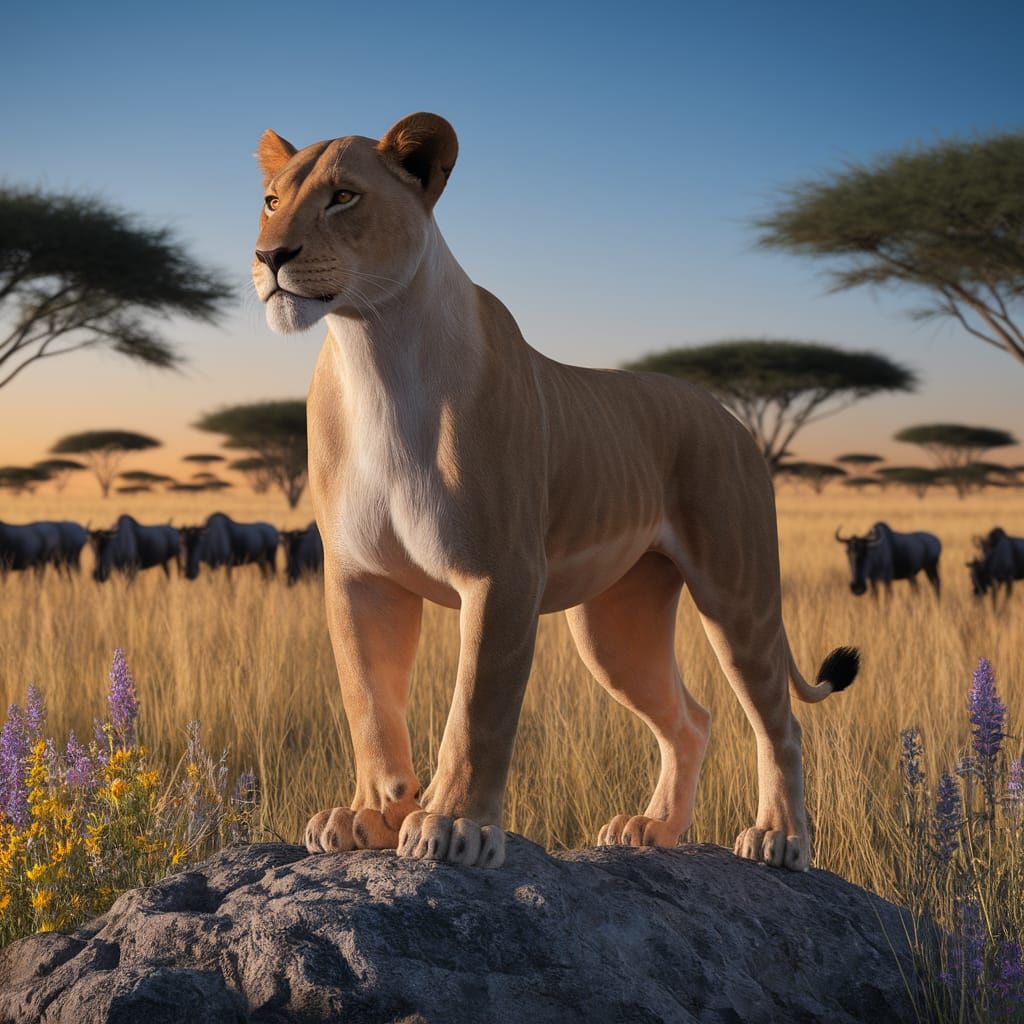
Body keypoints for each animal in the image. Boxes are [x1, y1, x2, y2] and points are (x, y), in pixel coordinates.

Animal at [252, 112, 858, 871]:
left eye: (343, 197)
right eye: (271, 200)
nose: (269, 256)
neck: (375, 349)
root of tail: (732, 418)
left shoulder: (501, 574)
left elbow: (477, 709)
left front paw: (452, 825)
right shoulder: (359, 575)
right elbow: (369, 702)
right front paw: (370, 815)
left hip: (737, 594)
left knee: (778, 722)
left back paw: (779, 838)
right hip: (614, 626)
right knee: (691, 719)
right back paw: (652, 829)